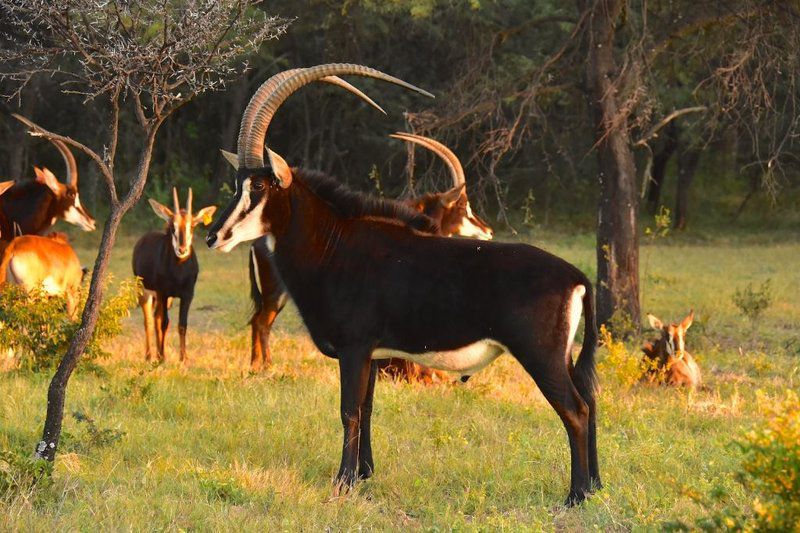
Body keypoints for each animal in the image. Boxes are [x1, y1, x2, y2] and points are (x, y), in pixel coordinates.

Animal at [133, 186, 217, 362]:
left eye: (192, 226)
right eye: (173, 226)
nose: (182, 250)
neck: (179, 271)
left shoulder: (187, 295)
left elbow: (182, 325)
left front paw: (183, 357)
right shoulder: (163, 293)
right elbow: (164, 323)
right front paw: (162, 357)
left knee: (156, 317)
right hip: (145, 291)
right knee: (149, 320)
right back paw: (150, 355)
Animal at [206, 64, 600, 504]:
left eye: (258, 186)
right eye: (237, 183)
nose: (213, 237)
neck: (335, 245)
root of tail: (576, 277)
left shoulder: (354, 348)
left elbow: (349, 410)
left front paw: (342, 482)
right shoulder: (373, 355)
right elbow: (367, 409)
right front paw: (363, 474)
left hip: (541, 356)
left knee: (576, 411)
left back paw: (576, 495)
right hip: (563, 356)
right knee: (591, 401)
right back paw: (596, 486)